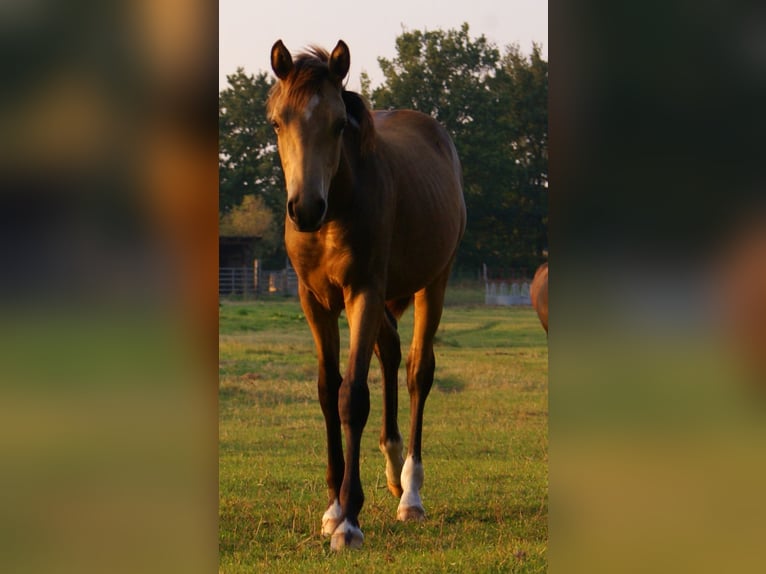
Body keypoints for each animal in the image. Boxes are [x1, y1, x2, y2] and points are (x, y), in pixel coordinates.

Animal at [268, 38, 472, 552]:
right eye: (277, 121)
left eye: (339, 124)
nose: (305, 208)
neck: (337, 208)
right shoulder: (314, 302)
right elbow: (328, 391)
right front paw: (332, 508)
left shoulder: (362, 292)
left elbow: (353, 397)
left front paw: (350, 520)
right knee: (391, 351)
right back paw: (393, 466)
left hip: (432, 282)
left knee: (418, 371)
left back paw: (411, 492)